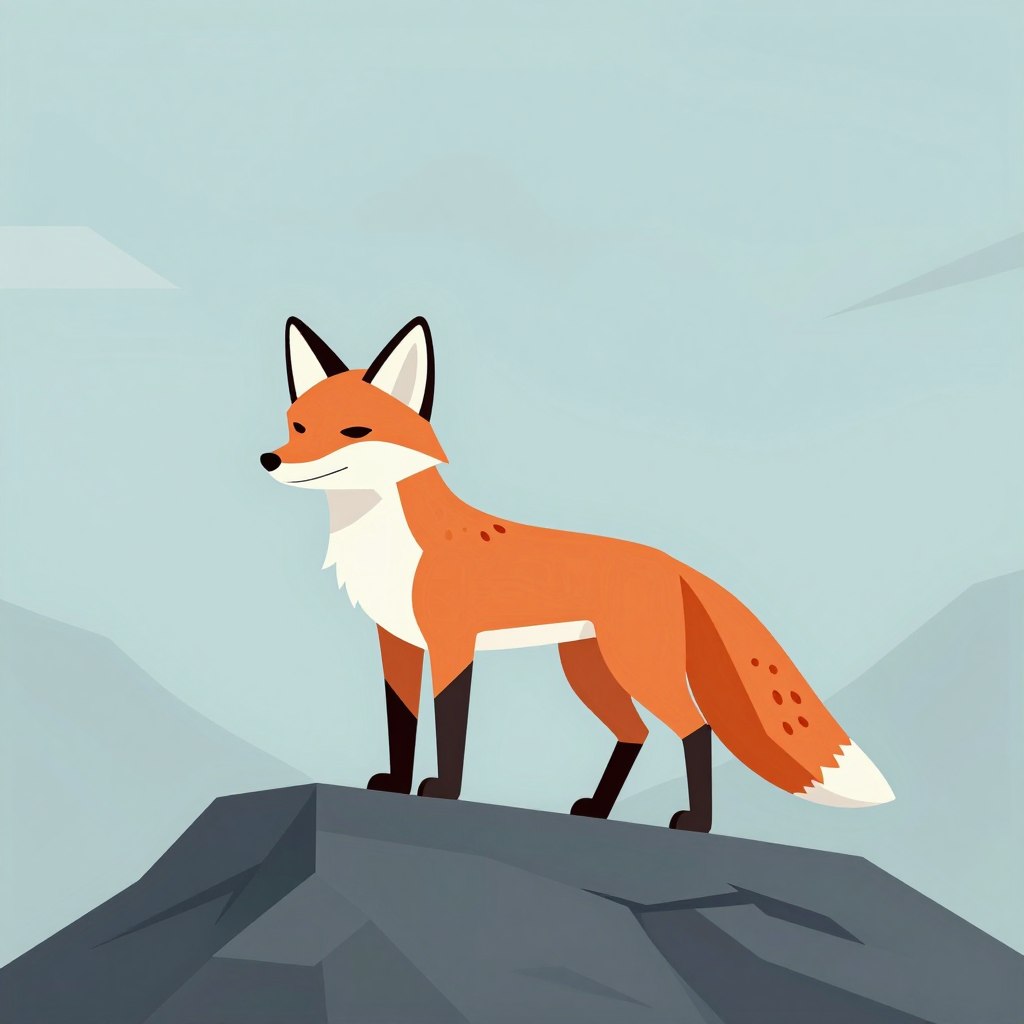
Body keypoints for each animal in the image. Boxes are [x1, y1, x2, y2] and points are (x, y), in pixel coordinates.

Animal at [260, 315, 894, 830]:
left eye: (355, 432)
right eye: (297, 426)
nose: (270, 460)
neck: (385, 543)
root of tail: (673, 562)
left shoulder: (451, 643)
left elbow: (449, 726)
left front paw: (442, 791)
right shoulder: (397, 641)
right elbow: (402, 722)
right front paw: (394, 785)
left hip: (636, 667)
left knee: (695, 728)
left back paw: (695, 823)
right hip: (590, 670)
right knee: (636, 733)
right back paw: (599, 808)